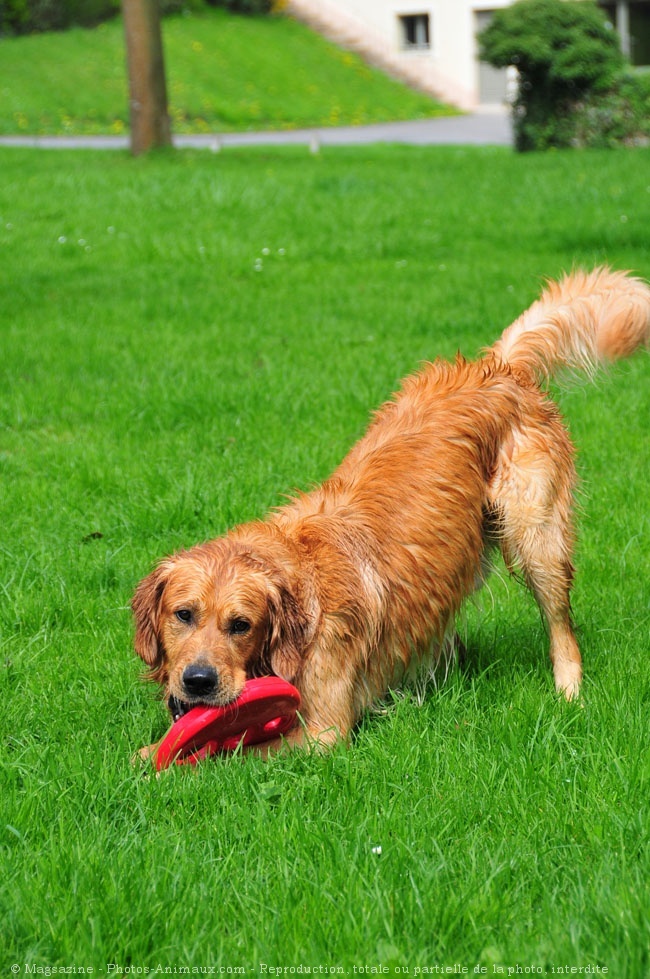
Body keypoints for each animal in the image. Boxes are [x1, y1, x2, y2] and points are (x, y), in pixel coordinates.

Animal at [133, 268, 648, 756]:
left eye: (241, 625)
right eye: (183, 614)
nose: (198, 681)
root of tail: (495, 365)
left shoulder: (324, 730)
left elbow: (233, 751)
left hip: (535, 533)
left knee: (560, 623)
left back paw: (568, 692)